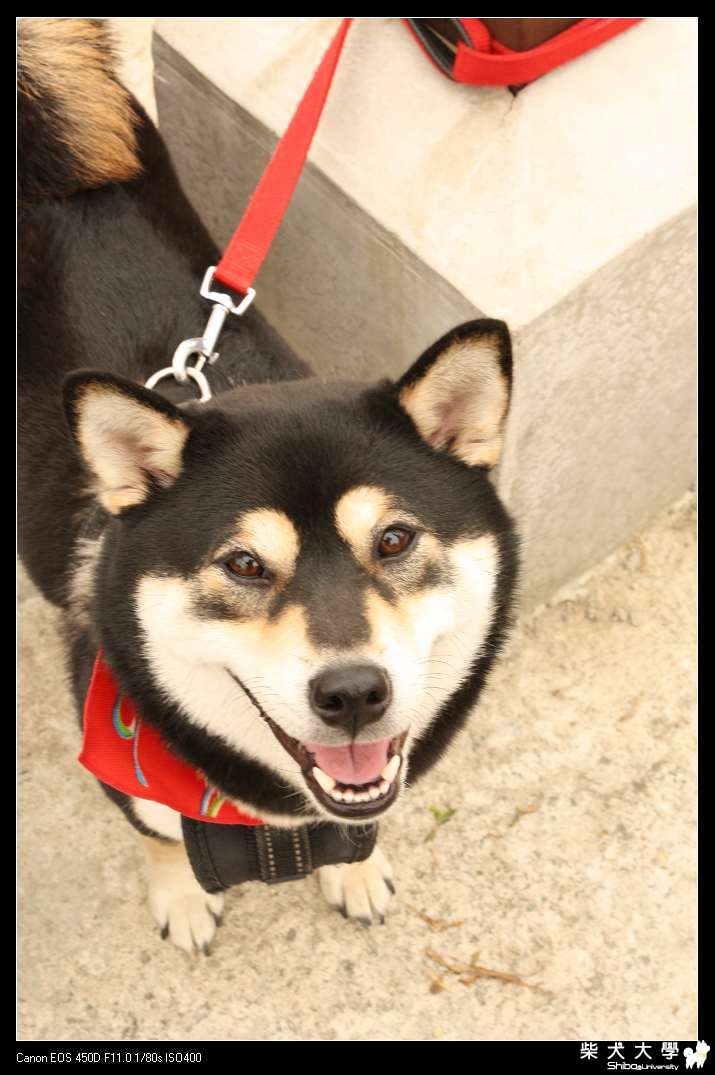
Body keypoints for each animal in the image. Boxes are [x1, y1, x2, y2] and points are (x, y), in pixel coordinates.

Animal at [18, 17, 518, 953]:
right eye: (244, 565)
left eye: (394, 538)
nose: (354, 692)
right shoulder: (124, 773)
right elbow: (158, 836)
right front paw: (181, 894)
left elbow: (359, 823)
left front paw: (353, 867)